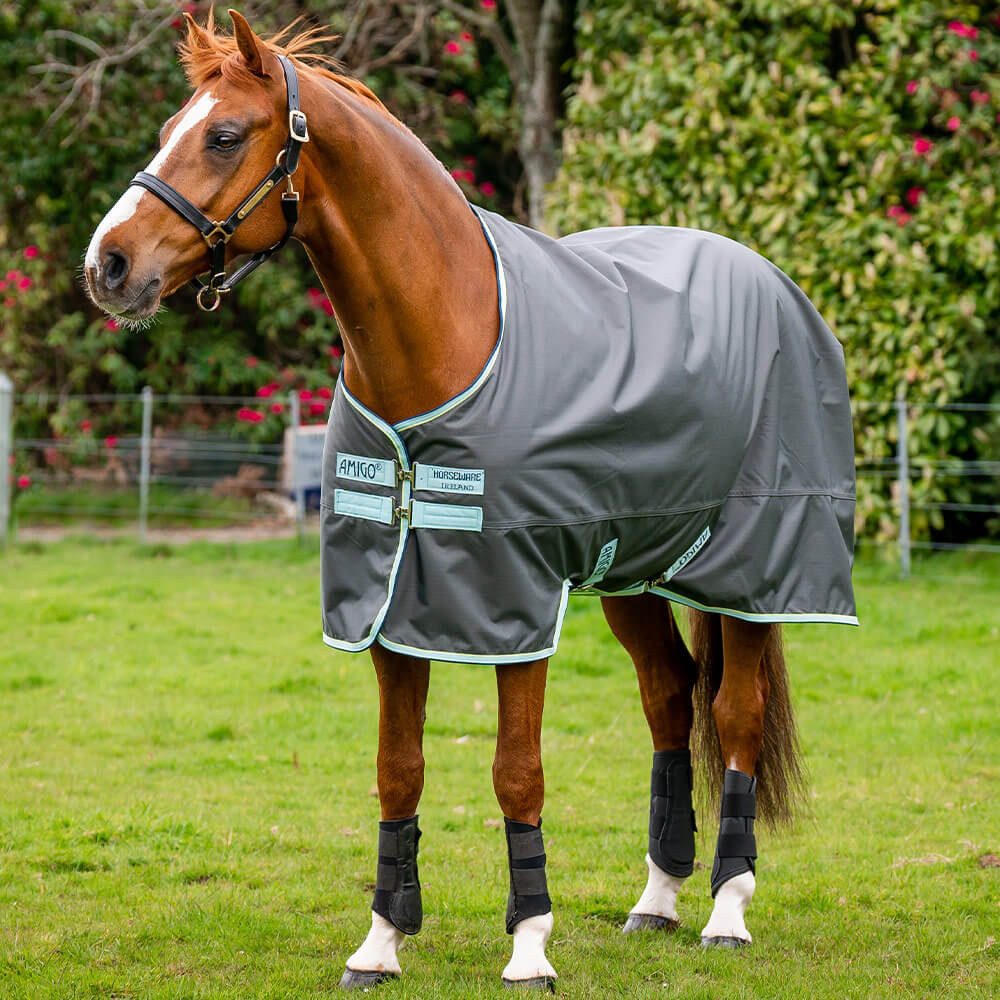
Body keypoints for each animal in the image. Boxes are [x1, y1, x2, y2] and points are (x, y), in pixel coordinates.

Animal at [84, 11, 857, 992]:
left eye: (223, 135)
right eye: (169, 130)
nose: (108, 265)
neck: (445, 337)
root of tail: (769, 278)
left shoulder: (514, 607)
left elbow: (516, 772)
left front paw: (529, 945)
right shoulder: (388, 607)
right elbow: (398, 769)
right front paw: (381, 941)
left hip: (755, 574)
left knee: (735, 715)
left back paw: (726, 910)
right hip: (631, 576)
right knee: (669, 699)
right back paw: (657, 900)